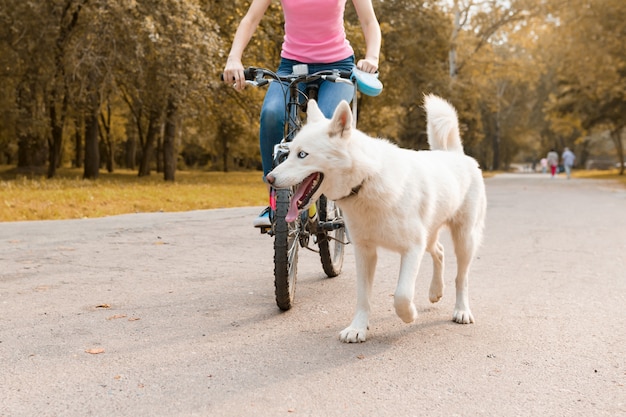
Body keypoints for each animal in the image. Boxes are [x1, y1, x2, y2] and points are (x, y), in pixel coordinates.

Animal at [266, 94, 486, 342]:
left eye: (302, 154)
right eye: (290, 152)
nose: (269, 178)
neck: (367, 180)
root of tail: (455, 154)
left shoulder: (412, 249)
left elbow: (402, 294)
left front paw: (409, 315)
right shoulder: (365, 251)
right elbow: (363, 296)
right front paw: (358, 328)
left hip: (464, 239)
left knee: (461, 277)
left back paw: (462, 310)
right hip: (430, 235)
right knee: (439, 251)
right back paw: (435, 292)